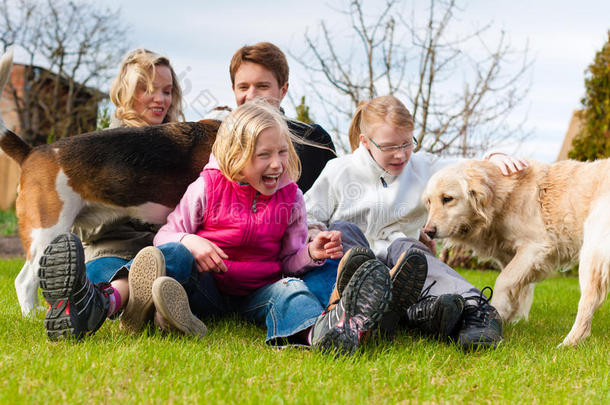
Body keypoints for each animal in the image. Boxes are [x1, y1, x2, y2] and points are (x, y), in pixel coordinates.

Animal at [420, 158, 608, 344]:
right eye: (429, 202)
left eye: (447, 199)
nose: (428, 232)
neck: (503, 198)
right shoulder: (510, 257)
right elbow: (516, 288)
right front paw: (508, 317)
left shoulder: (535, 246)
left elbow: (503, 280)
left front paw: (497, 311)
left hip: (590, 253)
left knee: (589, 300)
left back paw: (571, 341)